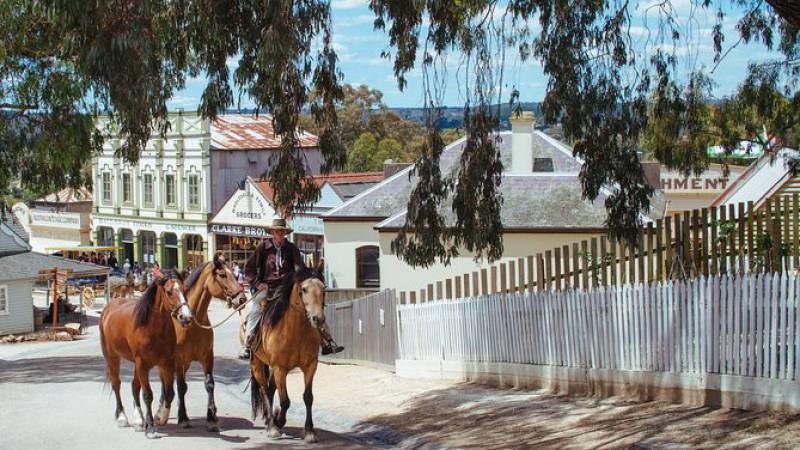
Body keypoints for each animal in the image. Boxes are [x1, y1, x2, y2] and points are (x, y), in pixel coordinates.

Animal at [99, 276, 193, 438]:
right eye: (169, 292)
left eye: (185, 290)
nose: (186, 317)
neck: (152, 328)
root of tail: (108, 308)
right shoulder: (142, 364)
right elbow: (148, 395)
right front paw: (150, 428)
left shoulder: (166, 364)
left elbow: (169, 393)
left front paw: (160, 418)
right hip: (113, 357)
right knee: (116, 384)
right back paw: (122, 417)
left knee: (134, 386)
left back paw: (138, 420)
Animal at [168, 255, 244, 430]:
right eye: (222, 274)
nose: (241, 298)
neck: (191, 323)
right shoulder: (178, 360)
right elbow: (181, 386)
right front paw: (183, 418)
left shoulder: (207, 357)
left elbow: (209, 383)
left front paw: (212, 417)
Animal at [250, 264, 324, 442]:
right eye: (304, 289)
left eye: (323, 288)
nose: (317, 318)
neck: (296, 331)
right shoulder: (280, 368)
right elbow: (285, 401)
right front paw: (278, 422)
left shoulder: (310, 366)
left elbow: (308, 397)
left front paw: (309, 431)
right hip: (258, 364)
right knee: (264, 389)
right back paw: (271, 425)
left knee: (270, 389)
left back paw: (270, 420)